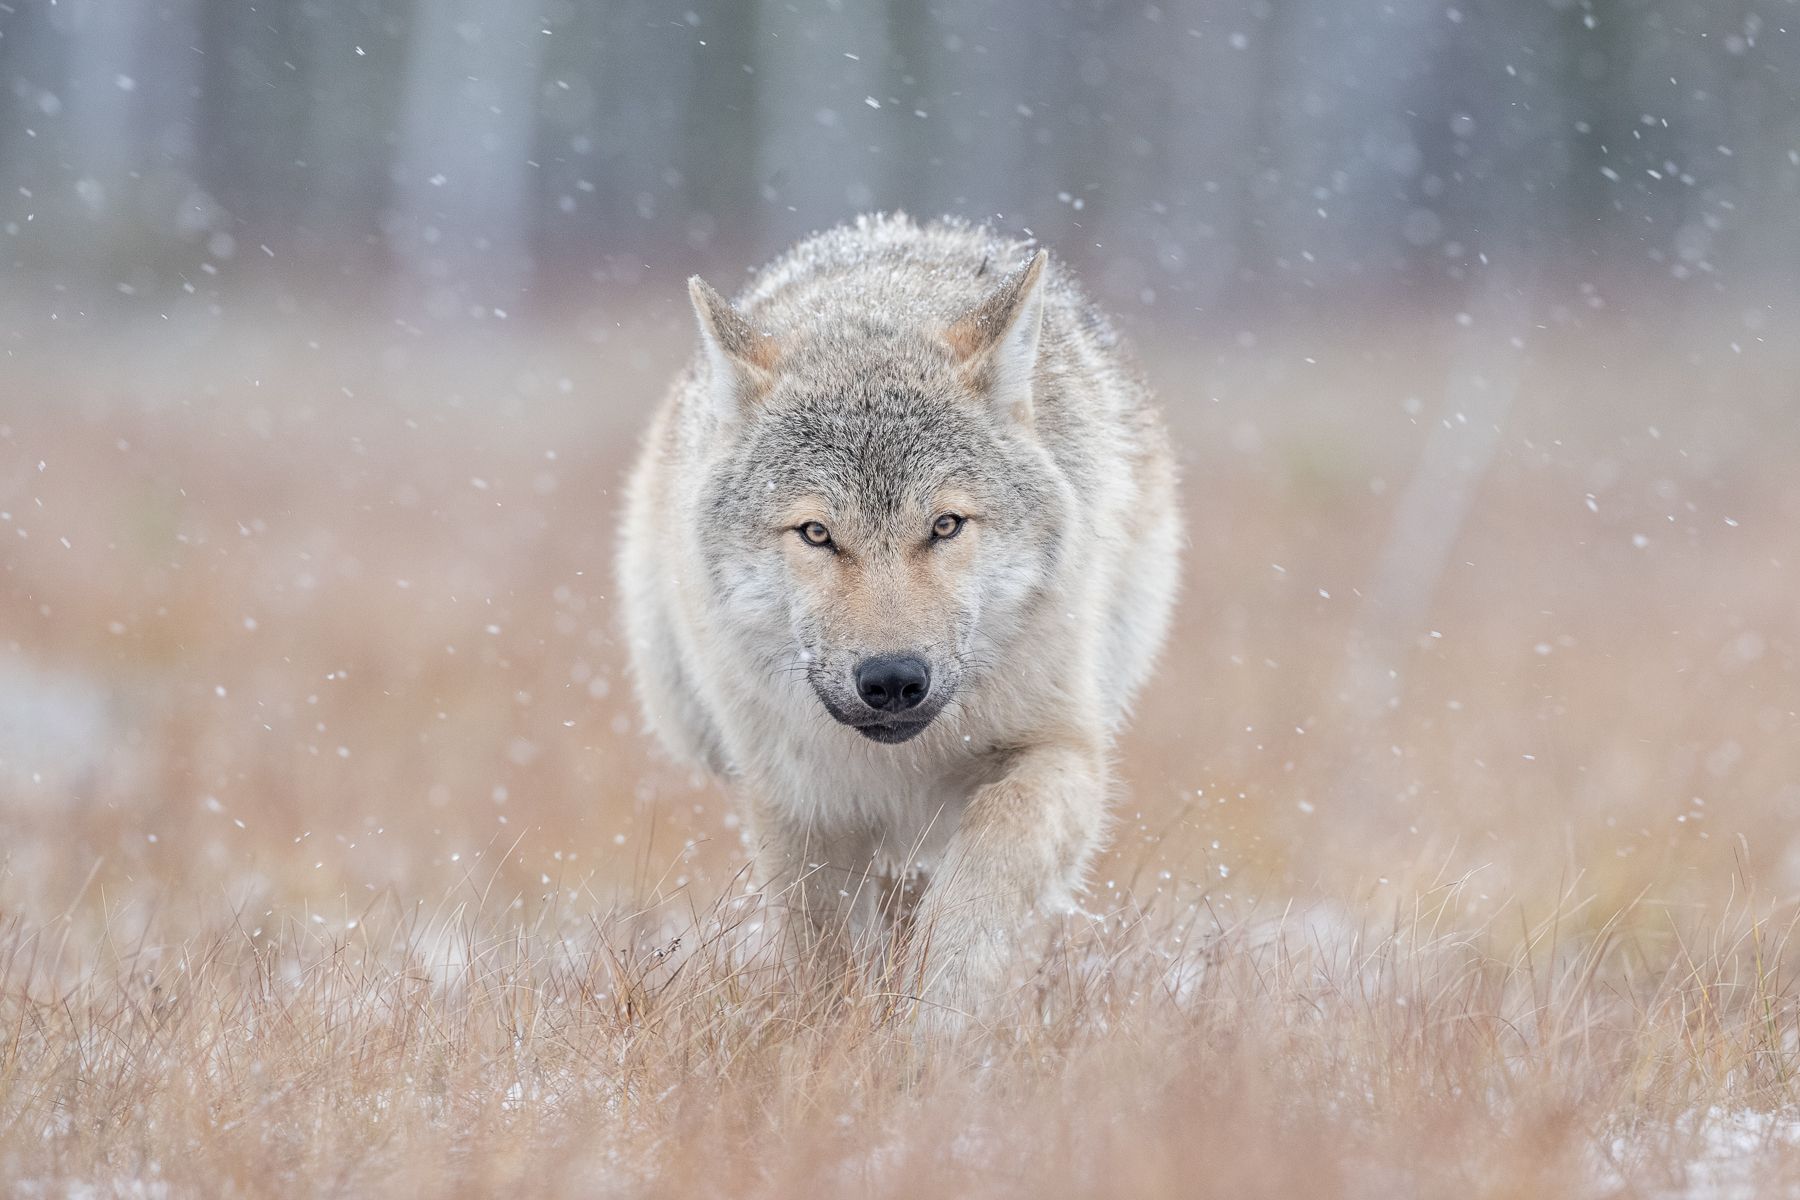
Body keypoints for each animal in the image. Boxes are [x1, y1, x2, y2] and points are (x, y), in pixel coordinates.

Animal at [617, 214, 1180, 1021]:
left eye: (944, 525)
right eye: (817, 534)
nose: (891, 680)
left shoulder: (1061, 751)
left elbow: (983, 884)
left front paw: (942, 1018)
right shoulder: (797, 803)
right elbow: (823, 954)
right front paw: (837, 1037)